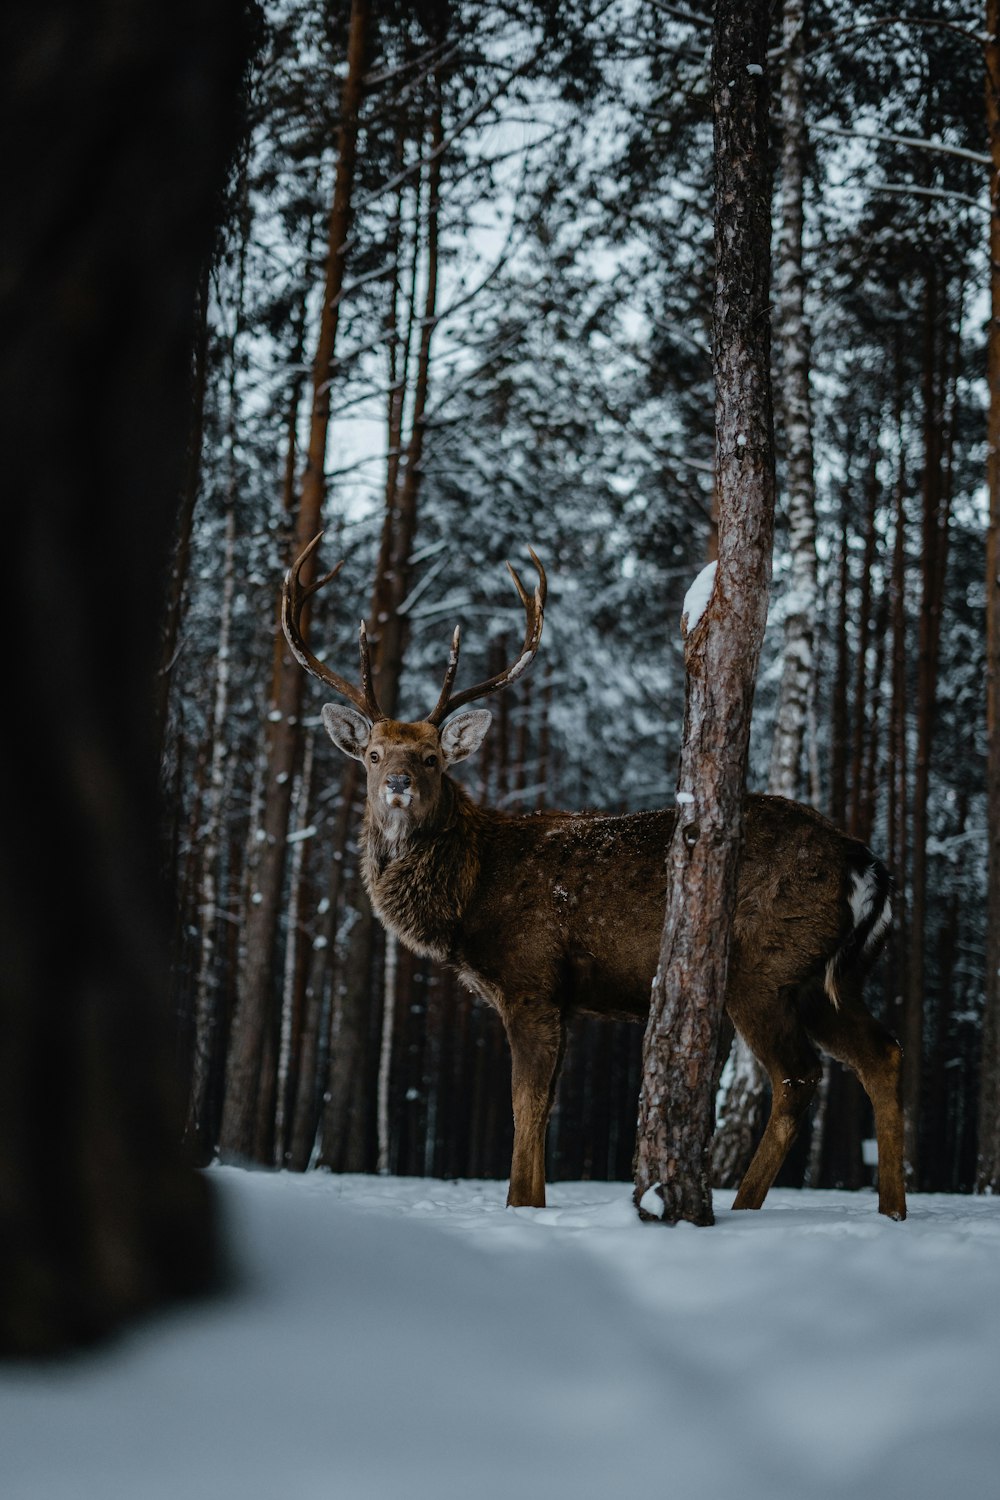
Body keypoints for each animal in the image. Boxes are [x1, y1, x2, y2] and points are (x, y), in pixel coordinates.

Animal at [281, 537, 905, 1218]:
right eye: (372, 754)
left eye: (432, 757)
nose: (397, 783)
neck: (468, 900)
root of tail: (864, 863)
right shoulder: (565, 998)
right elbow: (544, 1109)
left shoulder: (529, 977)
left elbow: (525, 1107)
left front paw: (519, 1207)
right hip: (828, 976)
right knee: (882, 1052)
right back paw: (891, 1209)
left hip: (764, 968)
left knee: (798, 1076)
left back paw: (743, 1206)